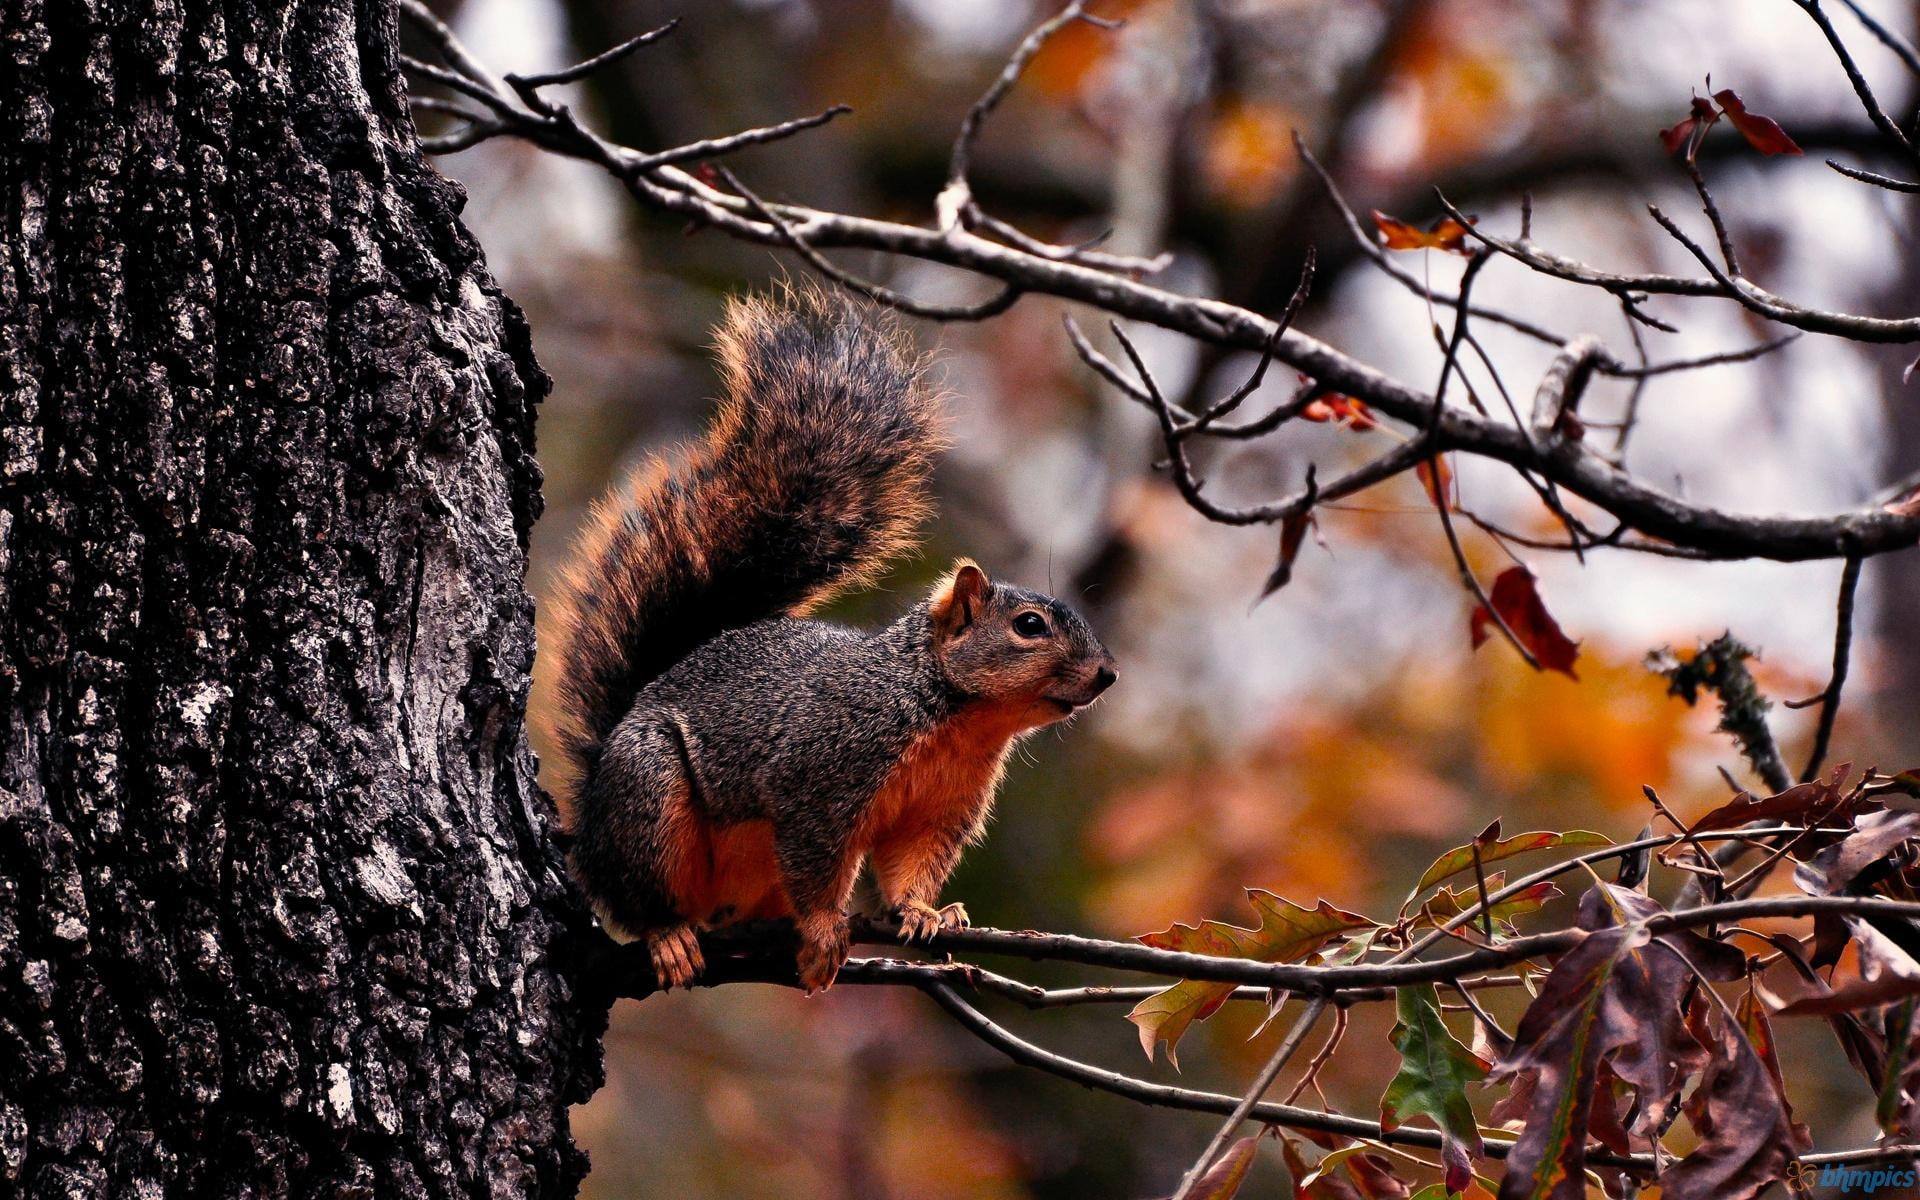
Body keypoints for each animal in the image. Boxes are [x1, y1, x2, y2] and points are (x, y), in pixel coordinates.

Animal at [546, 288, 1117, 994]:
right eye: (1029, 626)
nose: (1107, 673)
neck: (956, 716)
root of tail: (592, 801)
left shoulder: (939, 808)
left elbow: (910, 864)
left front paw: (925, 911)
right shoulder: (822, 776)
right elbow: (817, 859)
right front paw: (822, 929)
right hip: (646, 793)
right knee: (636, 893)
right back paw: (670, 934)